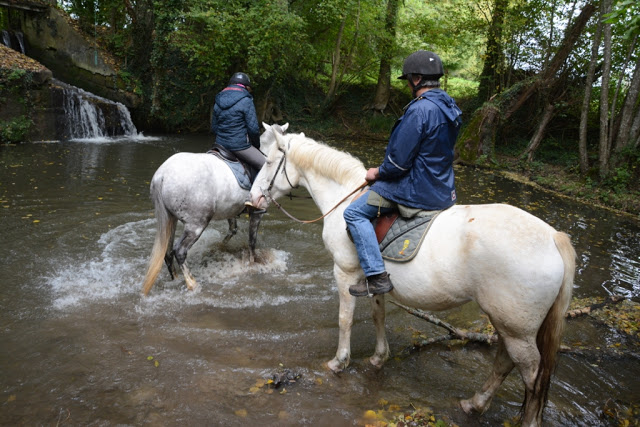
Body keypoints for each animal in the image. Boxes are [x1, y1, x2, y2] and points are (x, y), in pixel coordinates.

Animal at [142, 123, 290, 296]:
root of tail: (162, 175)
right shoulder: (257, 213)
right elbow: (252, 242)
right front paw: (253, 264)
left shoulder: (231, 211)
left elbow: (232, 231)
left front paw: (220, 248)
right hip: (196, 224)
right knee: (179, 251)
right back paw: (192, 284)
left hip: (170, 220)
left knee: (167, 252)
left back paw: (176, 279)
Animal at [249, 129, 576, 426]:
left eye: (268, 162)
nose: (253, 198)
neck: (343, 198)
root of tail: (552, 237)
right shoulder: (373, 279)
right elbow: (378, 316)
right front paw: (379, 358)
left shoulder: (344, 272)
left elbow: (345, 319)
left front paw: (338, 362)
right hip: (507, 322)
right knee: (505, 361)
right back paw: (475, 403)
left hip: (516, 327)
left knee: (531, 377)